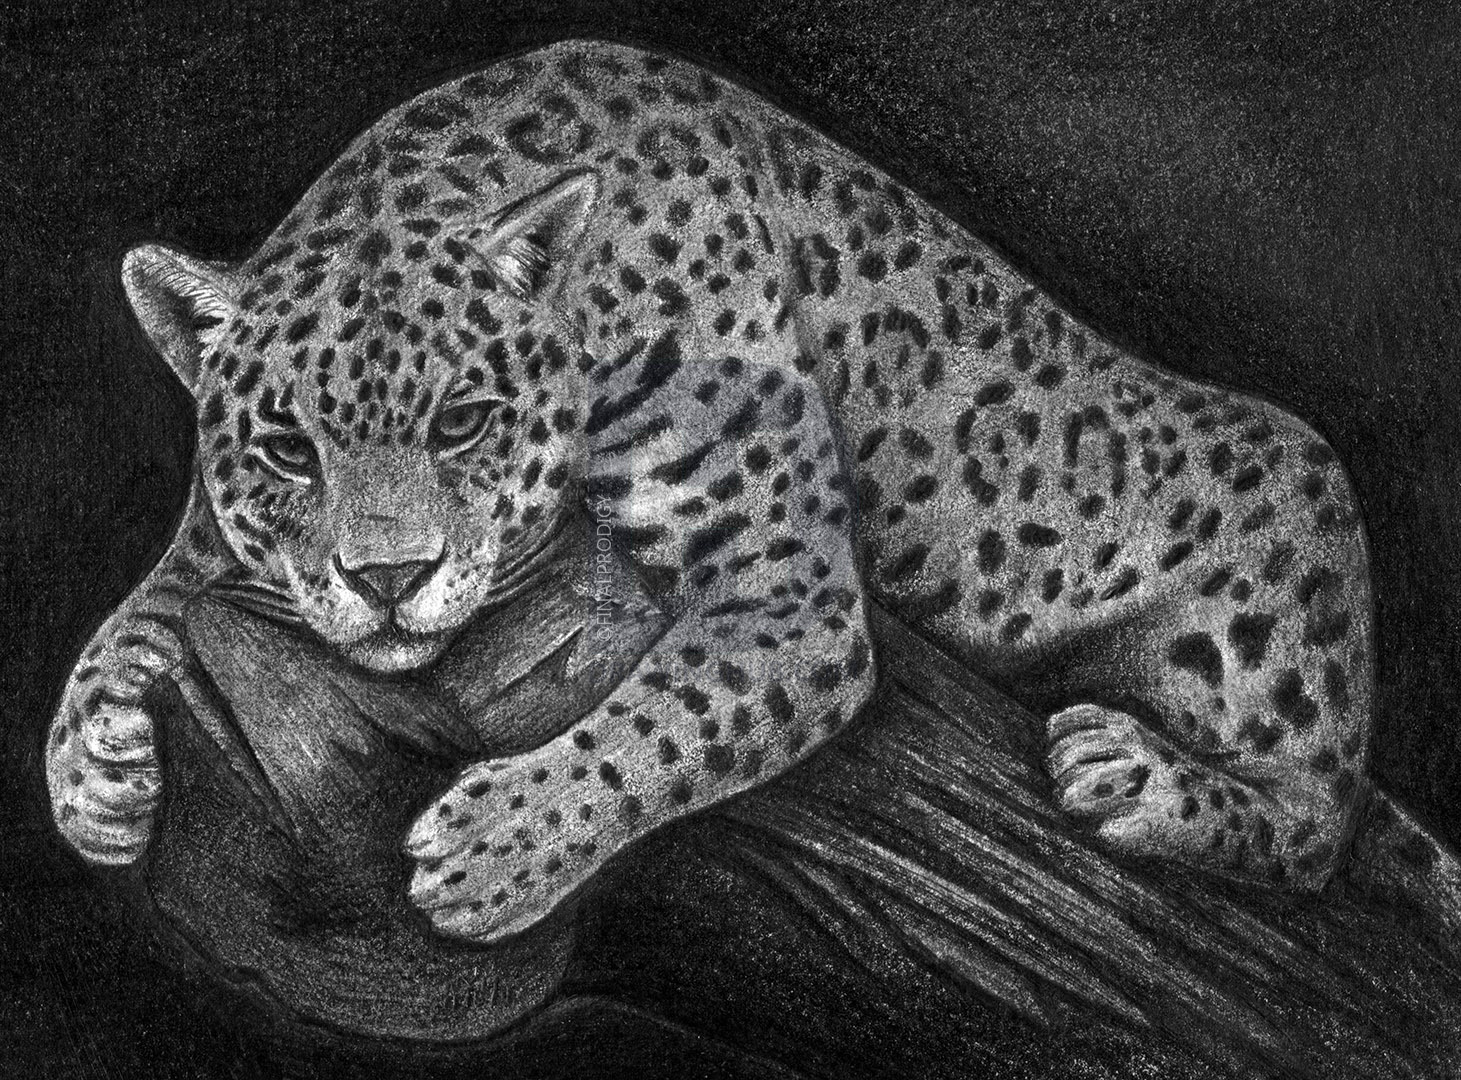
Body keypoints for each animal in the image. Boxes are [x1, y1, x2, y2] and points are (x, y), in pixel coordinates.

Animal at [46, 38, 1461, 947]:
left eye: (463, 422)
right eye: (289, 449)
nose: (387, 580)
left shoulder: (791, 598)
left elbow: (664, 723)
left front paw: (498, 843)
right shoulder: (213, 548)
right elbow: (138, 613)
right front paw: (91, 779)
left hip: (1295, 560)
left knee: (1315, 825)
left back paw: (1138, 775)